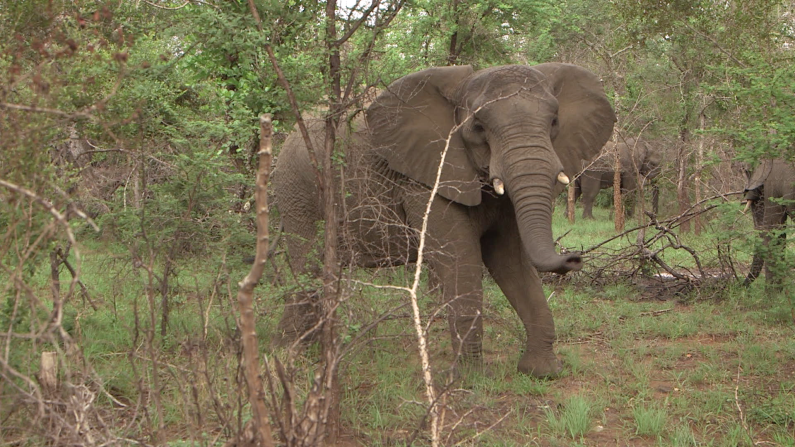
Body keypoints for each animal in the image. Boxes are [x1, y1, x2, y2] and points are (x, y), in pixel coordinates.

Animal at [272, 64, 616, 378]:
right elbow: (460, 258)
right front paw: (471, 380)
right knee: (307, 266)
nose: (574, 257)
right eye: (478, 127)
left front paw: (541, 372)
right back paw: (294, 357)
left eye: (554, 122)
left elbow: (510, 259)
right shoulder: (426, 178)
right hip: (297, 188)